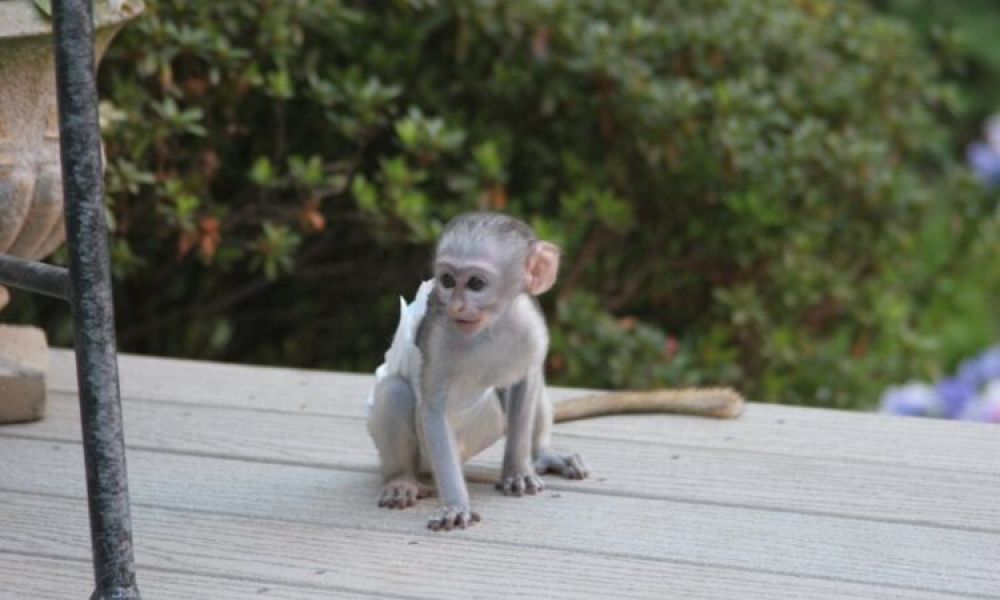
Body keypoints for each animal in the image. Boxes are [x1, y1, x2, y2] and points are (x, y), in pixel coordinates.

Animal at [366, 212, 743, 531]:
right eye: (446, 280)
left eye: (475, 284)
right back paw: (402, 479)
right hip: (431, 455)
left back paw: (542, 454)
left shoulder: (529, 326)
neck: (490, 328)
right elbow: (433, 409)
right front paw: (456, 504)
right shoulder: (440, 337)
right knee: (395, 392)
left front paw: (517, 469)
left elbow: (526, 382)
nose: (457, 305)